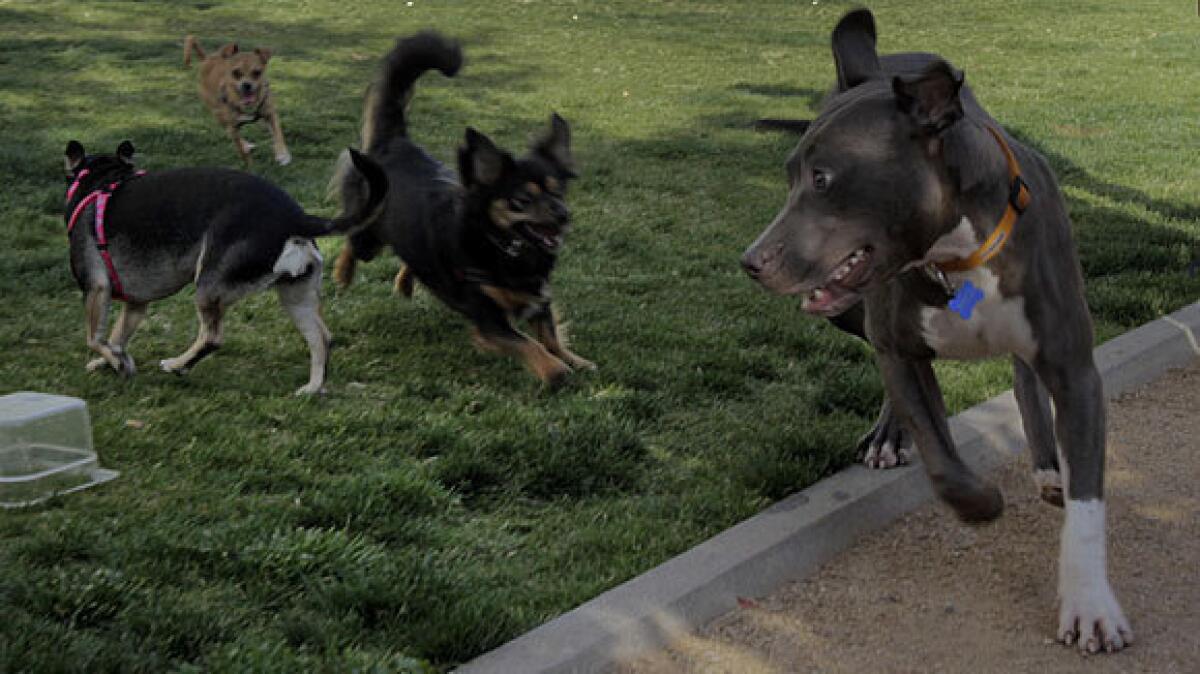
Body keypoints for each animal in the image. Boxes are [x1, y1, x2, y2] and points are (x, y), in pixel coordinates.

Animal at [63, 140, 386, 393]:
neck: (102, 179)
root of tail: (296, 217)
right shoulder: (136, 305)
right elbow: (116, 337)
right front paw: (112, 361)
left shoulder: (96, 289)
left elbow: (94, 338)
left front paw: (116, 362)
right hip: (296, 298)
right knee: (322, 339)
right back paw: (313, 388)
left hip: (207, 285)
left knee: (212, 337)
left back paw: (177, 364)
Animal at [182, 35, 290, 166]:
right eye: (236, 73)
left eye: (257, 72)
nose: (246, 85)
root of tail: (206, 59)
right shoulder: (233, 127)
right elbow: (240, 150)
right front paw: (250, 164)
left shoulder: (270, 114)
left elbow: (278, 135)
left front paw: (282, 154)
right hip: (219, 115)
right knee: (229, 132)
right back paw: (245, 145)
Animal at [331, 34, 592, 386]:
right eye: (521, 200)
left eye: (559, 191)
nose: (564, 215)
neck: (505, 247)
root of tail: (394, 143)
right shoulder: (488, 318)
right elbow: (528, 344)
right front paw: (556, 373)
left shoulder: (538, 297)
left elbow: (549, 335)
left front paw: (575, 360)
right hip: (369, 238)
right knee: (351, 240)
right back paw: (343, 275)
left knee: (413, 258)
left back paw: (405, 282)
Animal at [739, 9, 1132, 652]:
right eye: (789, 175)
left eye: (822, 178)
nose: (750, 261)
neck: (953, 256)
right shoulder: (900, 350)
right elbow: (942, 462)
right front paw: (982, 503)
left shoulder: (1074, 368)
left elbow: (1087, 505)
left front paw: (1090, 606)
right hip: (852, 311)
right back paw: (887, 438)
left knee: (1024, 379)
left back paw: (1048, 464)